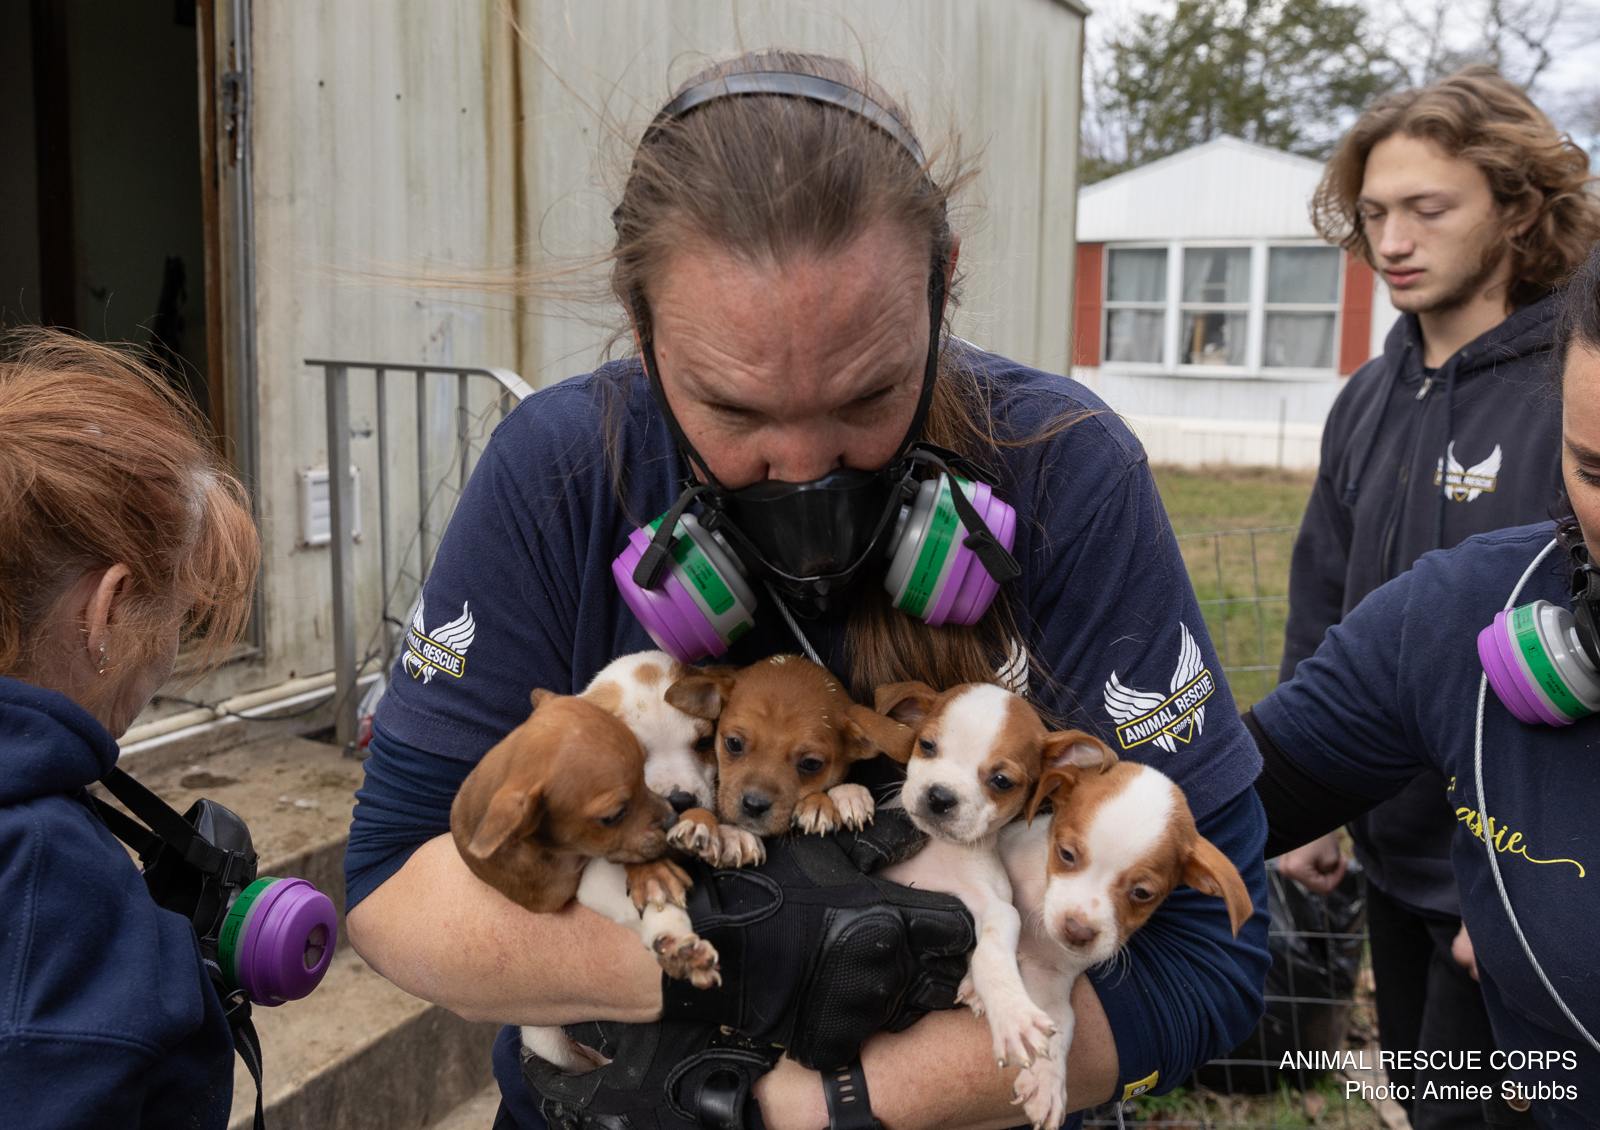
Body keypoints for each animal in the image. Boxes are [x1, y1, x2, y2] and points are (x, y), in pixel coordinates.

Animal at [870, 672, 1107, 1075]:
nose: (940, 797)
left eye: (1001, 781)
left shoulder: (995, 906)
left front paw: (1013, 1016)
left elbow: (990, 956)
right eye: (926, 745)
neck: (939, 851)